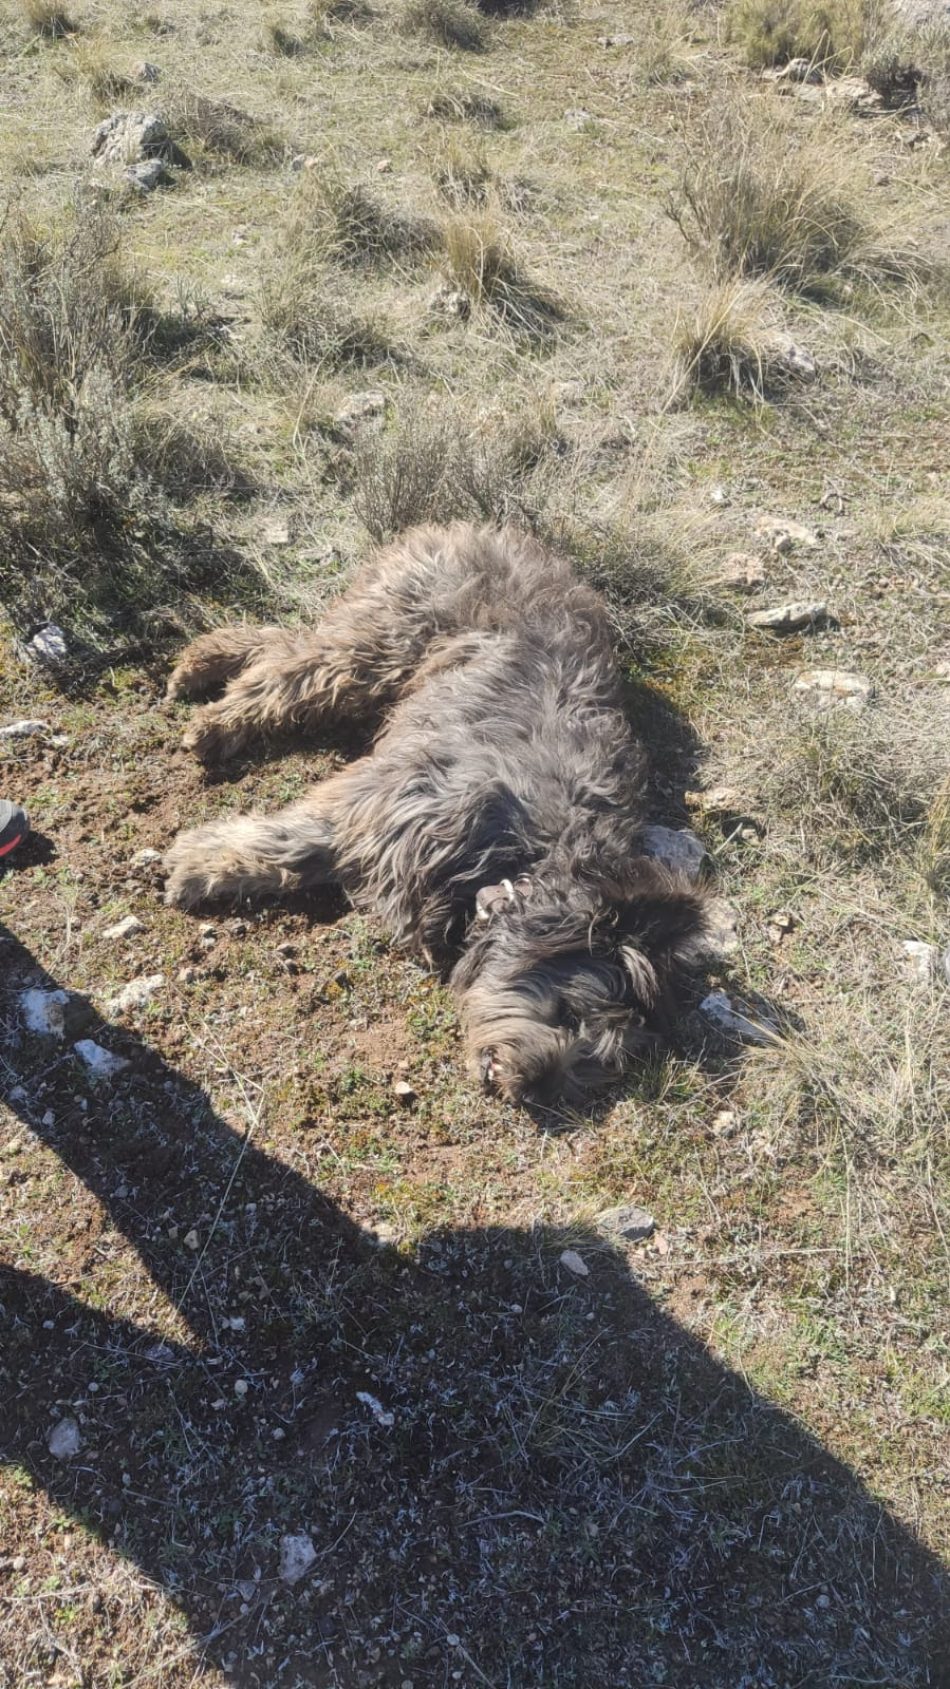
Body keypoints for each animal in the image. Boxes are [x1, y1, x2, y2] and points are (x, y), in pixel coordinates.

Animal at [162, 526, 703, 1107]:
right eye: (570, 1012)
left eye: (598, 1061)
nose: (530, 1087)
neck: (522, 859)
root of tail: (476, 530)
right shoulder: (392, 805)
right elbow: (287, 841)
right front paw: (195, 865)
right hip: (381, 642)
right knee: (293, 669)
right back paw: (213, 718)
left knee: (283, 642)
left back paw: (203, 662)